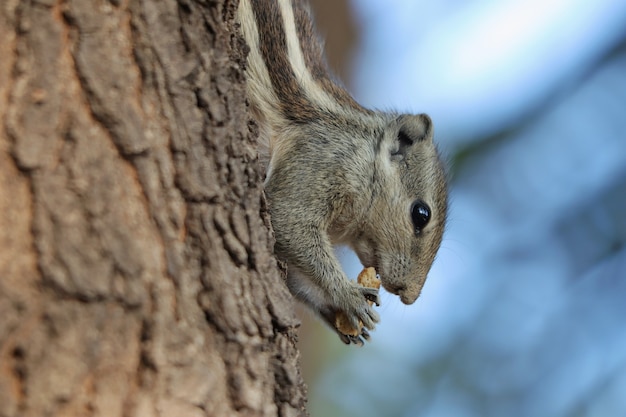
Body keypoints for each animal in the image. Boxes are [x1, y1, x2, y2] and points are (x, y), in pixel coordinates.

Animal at [236, 0, 446, 344]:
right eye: (421, 214)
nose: (410, 296)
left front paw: (338, 313)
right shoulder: (318, 163)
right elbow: (289, 222)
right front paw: (347, 296)